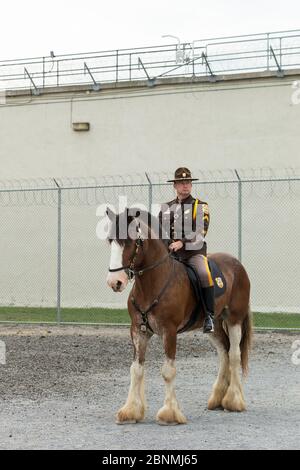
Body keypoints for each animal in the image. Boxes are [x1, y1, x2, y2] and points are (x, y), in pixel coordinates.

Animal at [106, 209, 252, 426]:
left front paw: (169, 414)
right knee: (224, 352)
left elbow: (168, 371)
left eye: (130, 242)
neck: (153, 283)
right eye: (110, 241)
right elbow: (136, 369)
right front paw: (130, 411)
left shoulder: (169, 331)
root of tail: (237, 265)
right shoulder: (138, 331)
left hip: (234, 320)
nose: (114, 282)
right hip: (214, 326)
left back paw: (233, 401)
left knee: (234, 354)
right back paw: (218, 399)